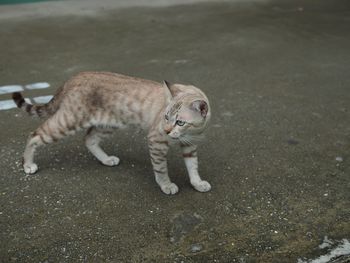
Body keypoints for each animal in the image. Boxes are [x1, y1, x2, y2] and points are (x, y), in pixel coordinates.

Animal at [12, 71, 211, 195]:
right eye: (166, 117)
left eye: (180, 122)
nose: (167, 129)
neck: (190, 133)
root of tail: (77, 75)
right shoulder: (156, 141)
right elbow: (161, 169)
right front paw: (167, 185)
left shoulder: (190, 145)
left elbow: (193, 166)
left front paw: (197, 183)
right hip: (68, 122)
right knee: (34, 135)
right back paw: (28, 165)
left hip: (108, 124)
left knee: (89, 138)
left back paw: (106, 159)